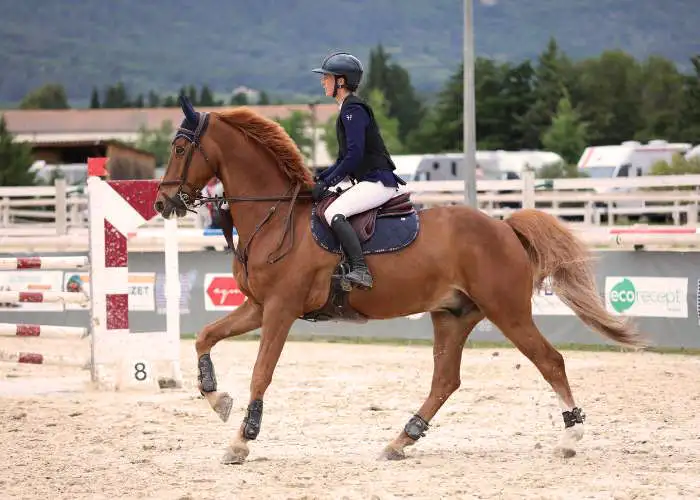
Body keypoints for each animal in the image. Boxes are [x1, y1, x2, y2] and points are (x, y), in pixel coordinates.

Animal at [156, 97, 644, 464]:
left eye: (179, 148)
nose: (163, 203)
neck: (274, 216)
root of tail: (505, 227)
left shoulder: (280, 308)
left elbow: (261, 372)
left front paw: (241, 439)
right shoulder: (258, 306)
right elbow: (205, 336)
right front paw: (217, 399)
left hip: (507, 311)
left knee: (550, 362)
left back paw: (570, 438)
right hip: (453, 314)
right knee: (446, 381)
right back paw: (401, 439)